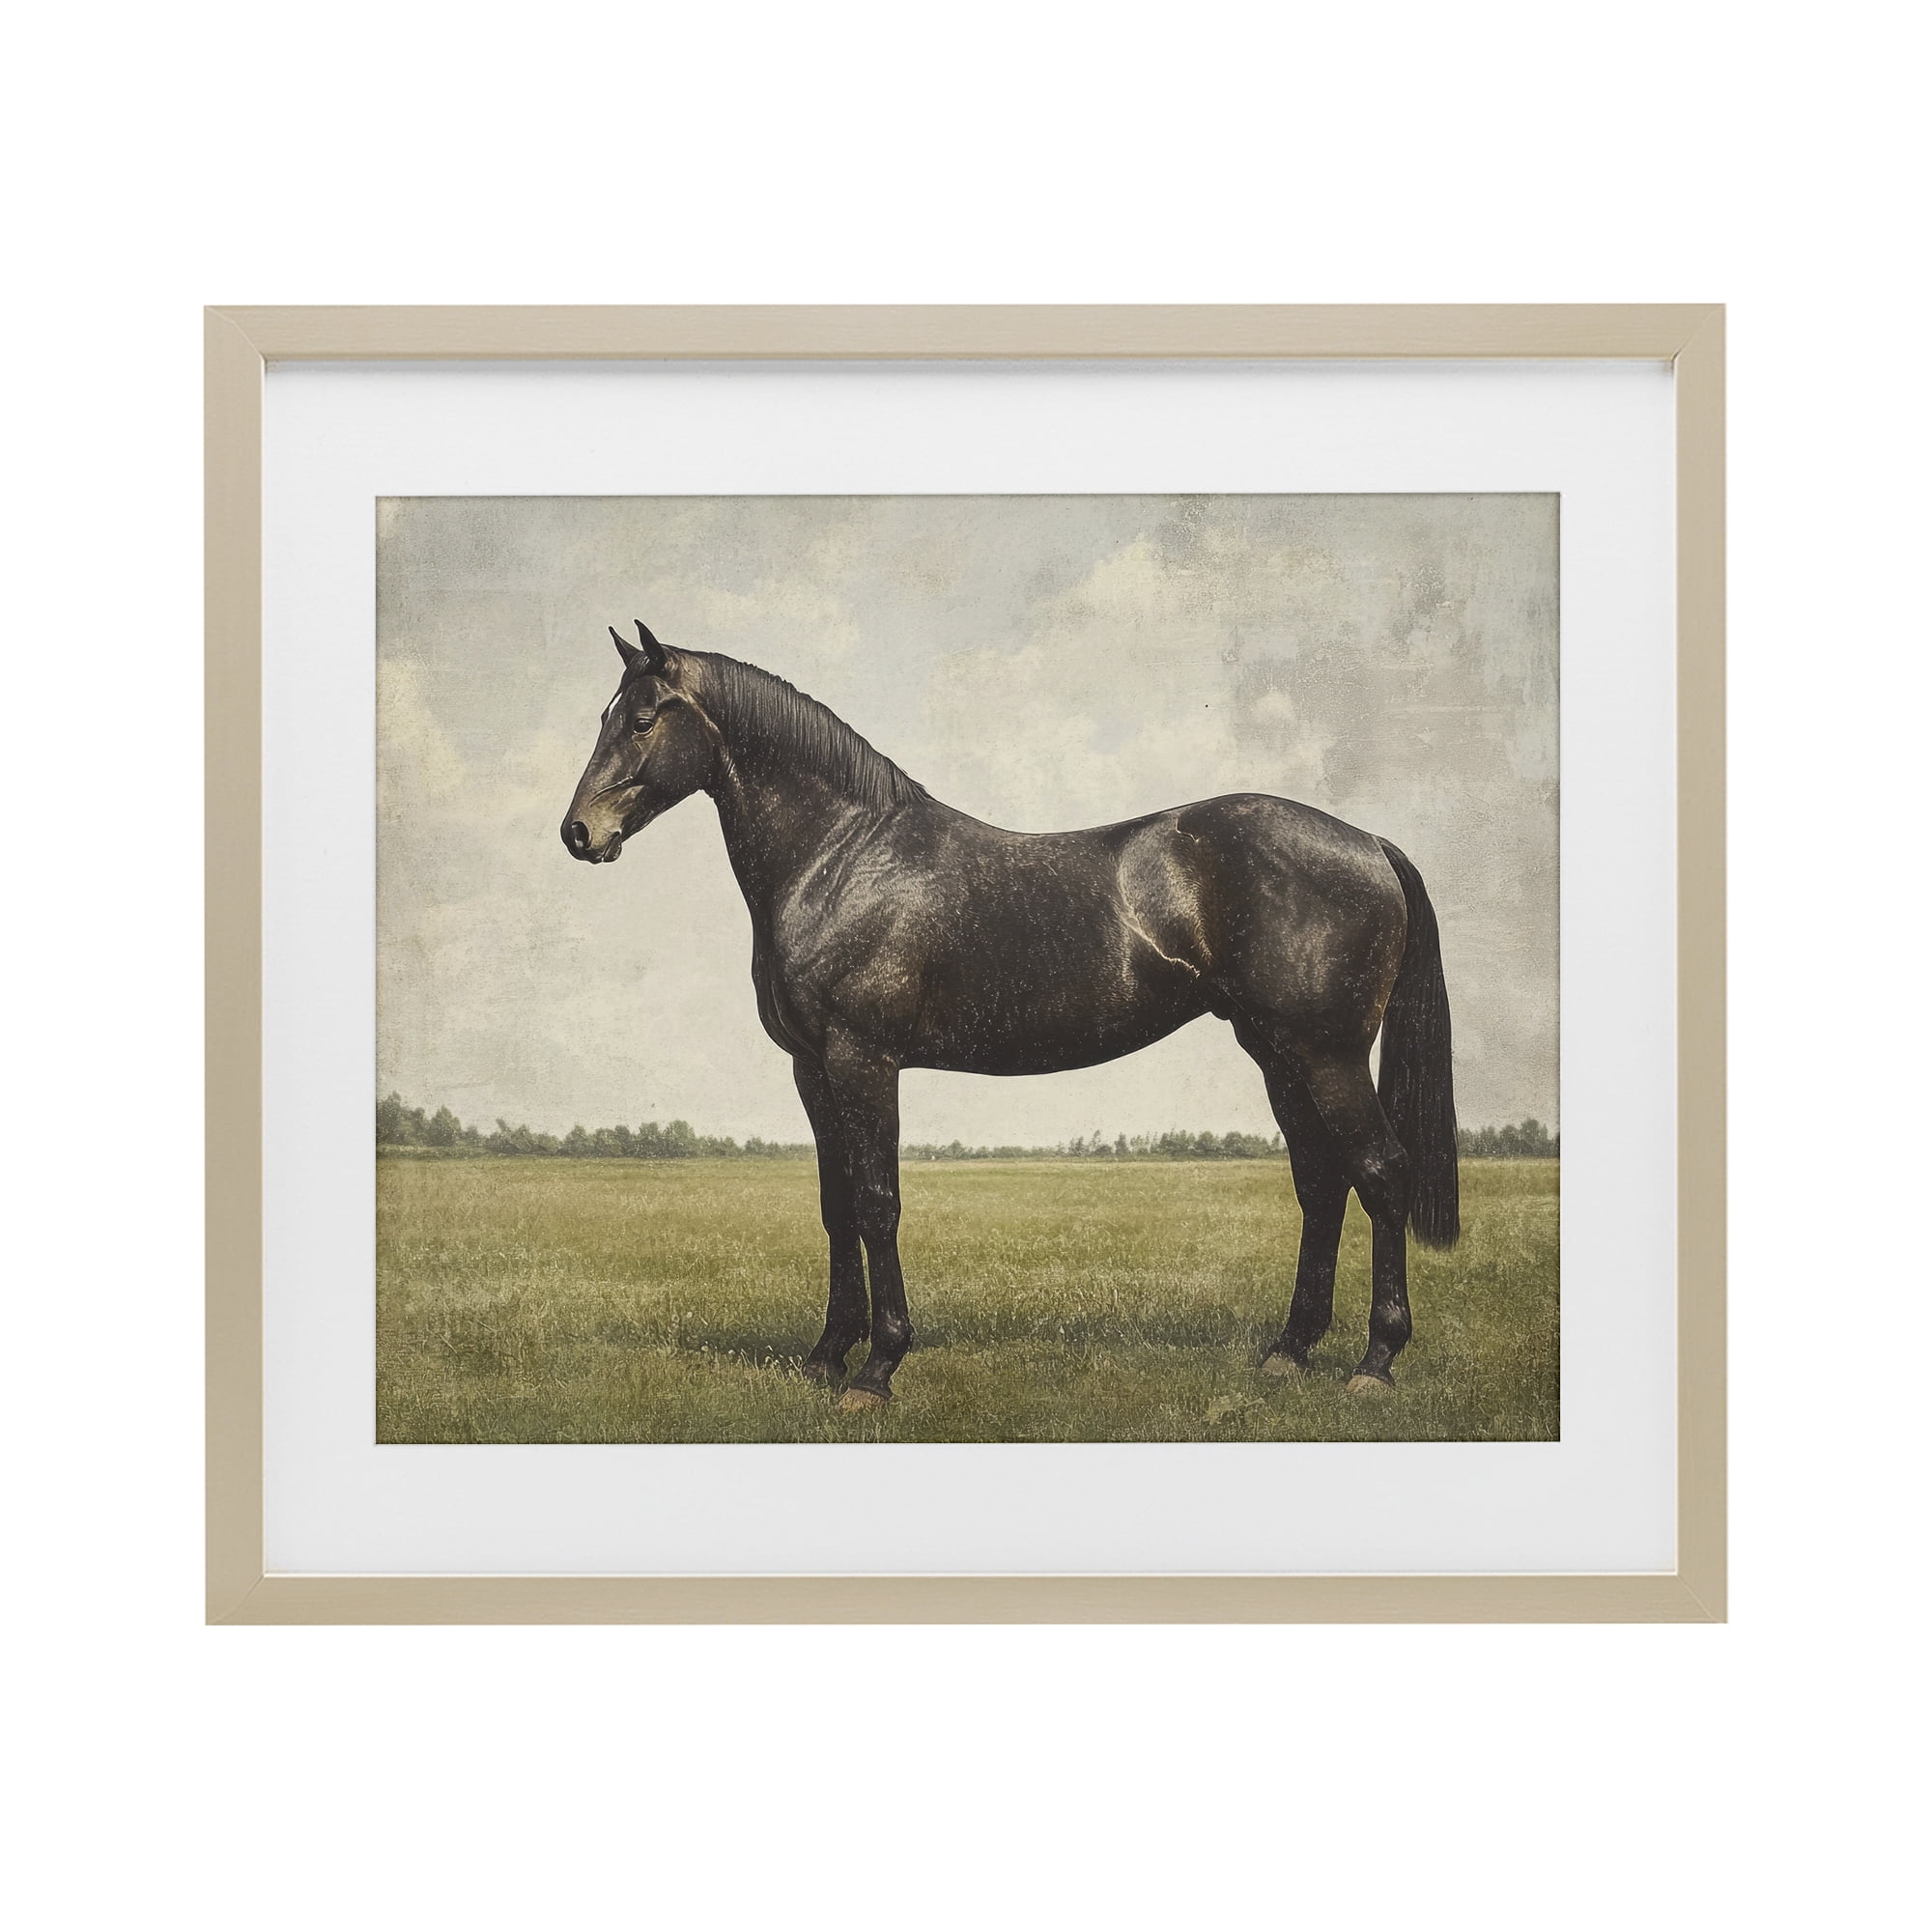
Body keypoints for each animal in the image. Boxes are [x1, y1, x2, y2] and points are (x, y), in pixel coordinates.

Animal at [562, 620, 1459, 1411]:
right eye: (605, 715)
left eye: (643, 718)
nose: (579, 832)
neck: (843, 856)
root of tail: (1369, 844)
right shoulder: (810, 1066)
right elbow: (836, 1205)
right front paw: (824, 1356)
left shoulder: (863, 1058)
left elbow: (877, 1201)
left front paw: (877, 1369)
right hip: (1278, 1054)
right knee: (1321, 1182)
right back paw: (1288, 1353)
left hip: (1327, 1055)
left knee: (1381, 1172)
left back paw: (1375, 1363)